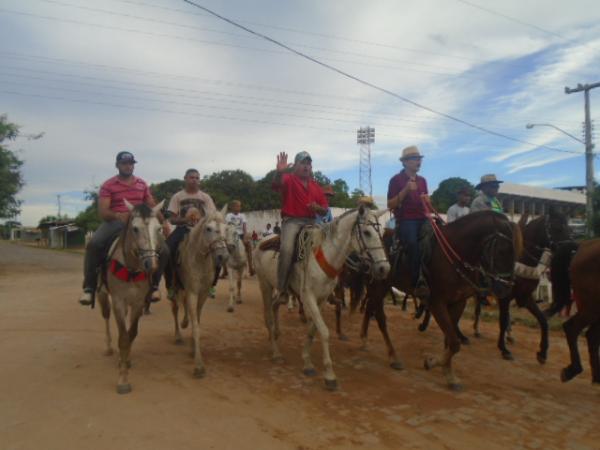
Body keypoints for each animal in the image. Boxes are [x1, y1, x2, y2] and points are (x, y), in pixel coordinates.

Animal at [96, 200, 166, 394]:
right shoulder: (118, 302)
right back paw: (107, 347)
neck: (131, 269)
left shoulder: (137, 303)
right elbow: (123, 339)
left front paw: (125, 360)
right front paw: (123, 380)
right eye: (135, 229)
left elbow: (131, 333)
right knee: (105, 317)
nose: (151, 264)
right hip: (102, 295)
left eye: (159, 228)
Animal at [169, 206, 230, 378]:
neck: (200, 260)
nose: (223, 256)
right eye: (208, 229)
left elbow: (197, 320)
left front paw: (192, 349)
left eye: (226, 228)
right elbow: (196, 326)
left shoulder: (202, 294)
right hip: (173, 286)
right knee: (175, 308)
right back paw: (177, 335)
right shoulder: (192, 292)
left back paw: (184, 323)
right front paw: (199, 366)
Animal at [252, 207, 390, 390]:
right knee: (268, 316)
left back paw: (275, 335)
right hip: (265, 284)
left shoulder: (322, 299)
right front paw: (329, 375)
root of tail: (262, 240)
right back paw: (275, 352)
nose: (384, 268)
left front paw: (307, 362)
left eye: (380, 233)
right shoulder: (308, 296)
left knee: (275, 306)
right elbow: (324, 332)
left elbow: (313, 330)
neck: (326, 255)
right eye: (367, 232)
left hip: (281, 292)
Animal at [360, 211, 520, 390]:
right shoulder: (437, 303)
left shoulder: (458, 302)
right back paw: (392, 357)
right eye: (501, 251)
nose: (506, 288)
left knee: (369, 307)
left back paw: (365, 340)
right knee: (380, 317)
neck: (453, 255)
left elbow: (450, 341)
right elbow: (454, 342)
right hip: (378, 286)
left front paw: (447, 372)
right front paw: (434, 364)